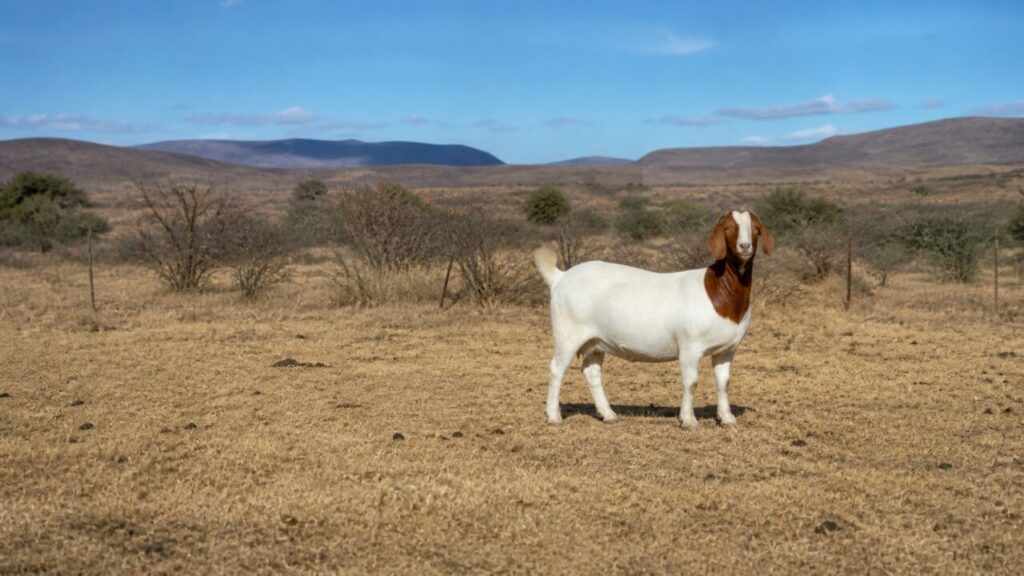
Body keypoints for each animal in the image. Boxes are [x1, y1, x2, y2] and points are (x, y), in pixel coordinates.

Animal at [534, 210, 775, 429]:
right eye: (728, 228)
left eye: (755, 228)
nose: (745, 247)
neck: (718, 292)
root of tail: (561, 277)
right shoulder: (689, 347)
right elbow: (691, 383)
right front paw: (688, 420)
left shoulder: (726, 349)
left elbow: (724, 383)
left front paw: (727, 418)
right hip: (567, 332)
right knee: (556, 368)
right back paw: (554, 416)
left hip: (595, 341)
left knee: (591, 371)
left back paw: (608, 414)